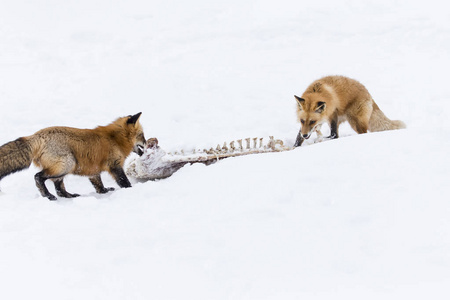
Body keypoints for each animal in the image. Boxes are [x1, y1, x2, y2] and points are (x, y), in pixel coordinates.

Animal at [0, 113, 146, 200]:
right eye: (142, 135)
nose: (146, 144)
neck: (115, 139)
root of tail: (36, 135)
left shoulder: (93, 170)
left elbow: (98, 185)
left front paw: (104, 192)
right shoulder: (115, 165)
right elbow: (123, 181)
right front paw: (130, 190)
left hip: (65, 168)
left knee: (59, 188)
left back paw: (69, 196)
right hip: (67, 164)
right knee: (38, 177)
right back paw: (48, 195)